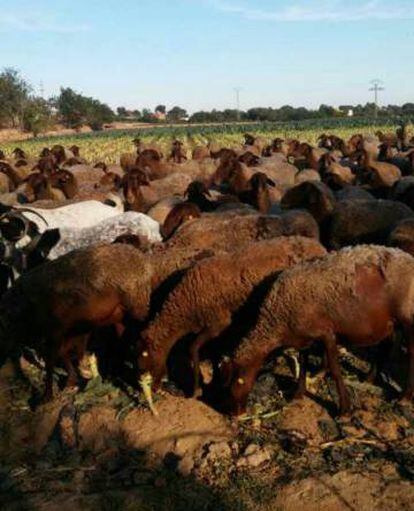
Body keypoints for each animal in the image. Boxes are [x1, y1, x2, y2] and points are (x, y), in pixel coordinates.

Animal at [0, 245, 153, 404]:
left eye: (8, 322)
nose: (6, 348)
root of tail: (145, 263)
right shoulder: (73, 330)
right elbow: (66, 353)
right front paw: (72, 382)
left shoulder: (56, 330)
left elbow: (52, 360)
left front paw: (46, 398)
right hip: (120, 315)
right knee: (124, 339)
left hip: (138, 305)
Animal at [137, 236, 326, 400]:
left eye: (145, 355)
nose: (152, 388)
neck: (186, 306)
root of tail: (319, 247)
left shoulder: (218, 324)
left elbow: (193, 348)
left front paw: (195, 389)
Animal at [222, 246, 414, 418]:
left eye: (236, 382)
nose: (233, 415)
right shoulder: (304, 338)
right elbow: (303, 364)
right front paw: (298, 394)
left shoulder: (327, 333)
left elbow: (335, 370)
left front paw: (344, 410)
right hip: (390, 322)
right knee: (386, 345)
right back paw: (370, 378)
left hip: (407, 318)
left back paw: (405, 397)